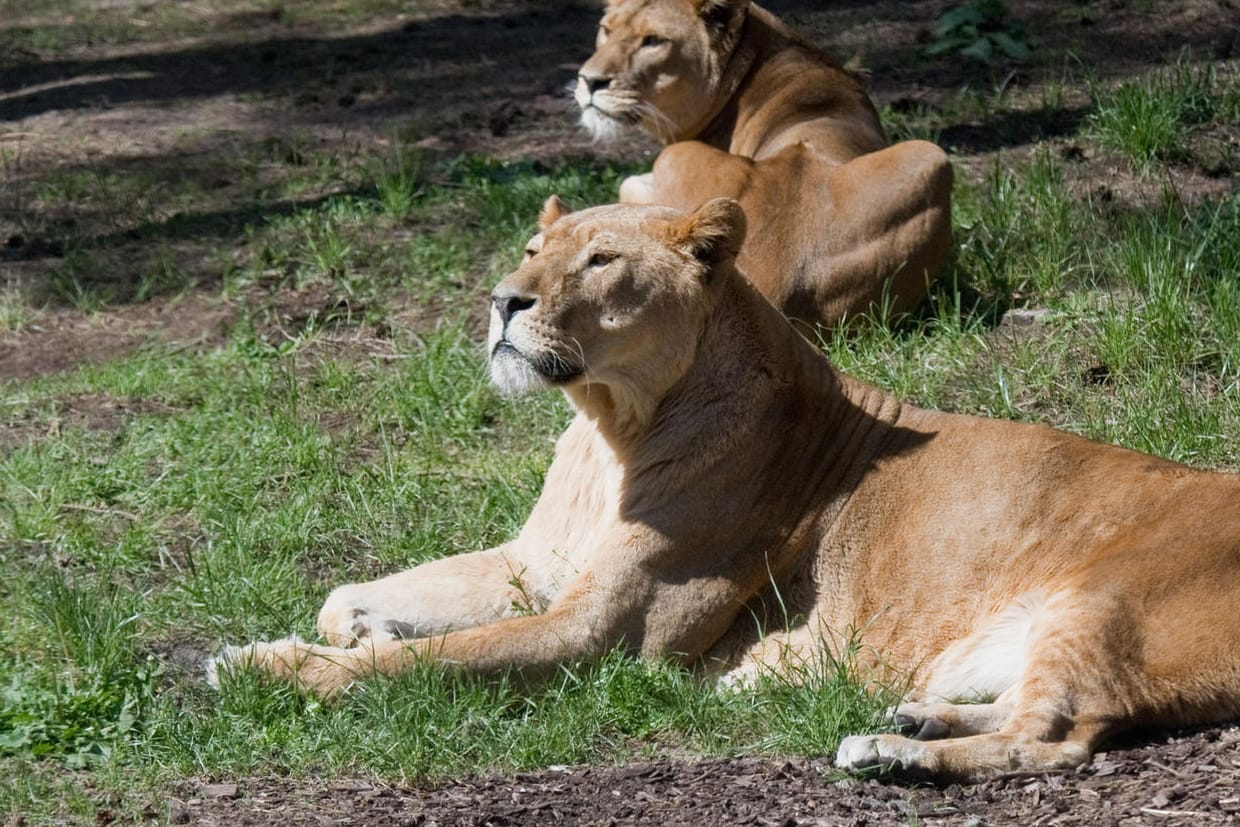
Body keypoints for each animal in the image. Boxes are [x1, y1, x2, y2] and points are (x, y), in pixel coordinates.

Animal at [213, 198, 1240, 783]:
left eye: (599, 261)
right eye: (534, 246)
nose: (505, 299)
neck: (607, 428)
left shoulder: (604, 633)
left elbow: (436, 660)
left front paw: (269, 665)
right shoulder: (535, 565)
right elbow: (377, 596)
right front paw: (357, 624)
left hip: (1103, 599)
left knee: (1057, 738)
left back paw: (891, 755)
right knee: (1031, 711)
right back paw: (907, 719)